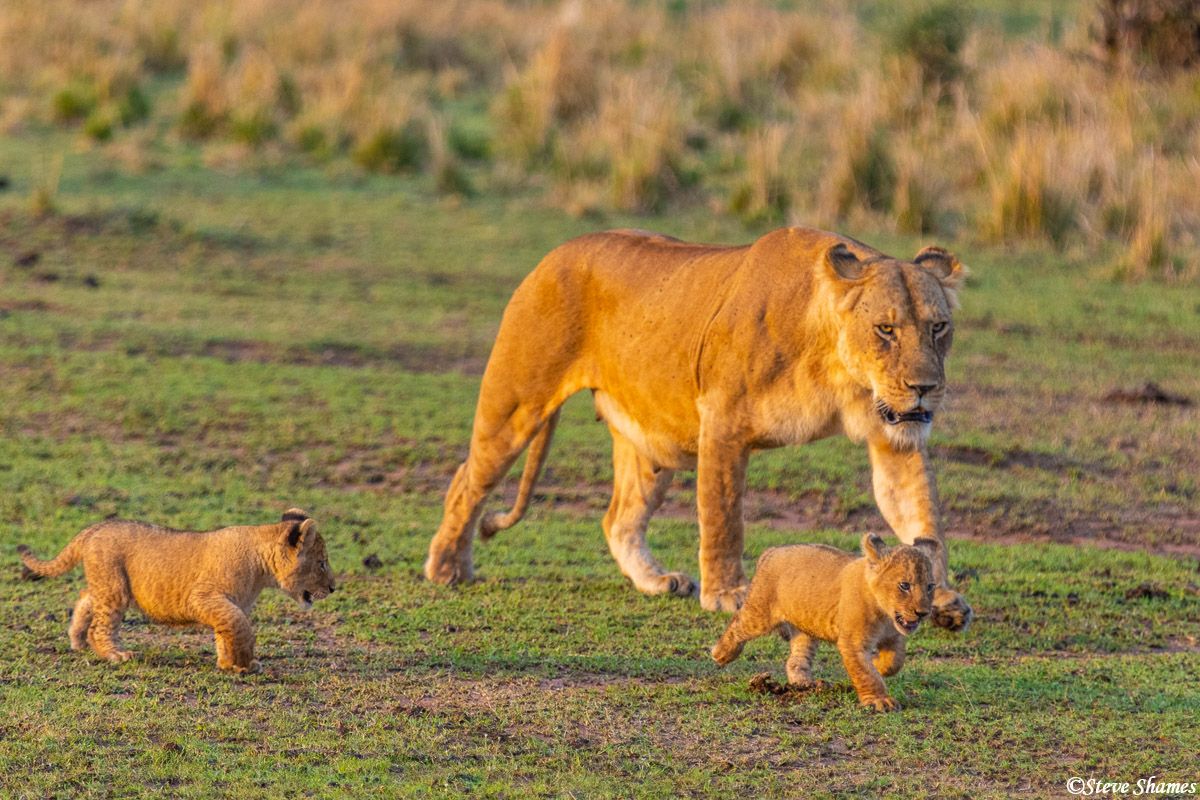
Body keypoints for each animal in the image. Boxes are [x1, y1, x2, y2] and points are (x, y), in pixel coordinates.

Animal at [17, 508, 335, 673]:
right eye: (321, 563)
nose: (333, 588)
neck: (261, 563)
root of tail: (95, 528)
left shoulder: (224, 603)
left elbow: (227, 630)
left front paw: (228, 663)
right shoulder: (203, 597)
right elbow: (239, 626)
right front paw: (244, 664)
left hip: (105, 583)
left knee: (86, 598)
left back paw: (77, 641)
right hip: (115, 586)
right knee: (101, 624)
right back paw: (114, 654)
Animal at [424, 226, 972, 630]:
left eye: (938, 327)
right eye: (886, 329)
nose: (924, 388)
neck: (839, 370)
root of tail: (555, 251)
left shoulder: (894, 438)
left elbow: (921, 517)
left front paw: (941, 595)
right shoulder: (724, 421)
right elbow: (723, 516)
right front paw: (729, 594)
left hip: (653, 440)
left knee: (619, 519)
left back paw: (656, 580)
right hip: (516, 401)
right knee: (466, 481)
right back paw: (448, 568)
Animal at [711, 534, 936, 712]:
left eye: (930, 586)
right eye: (904, 585)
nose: (923, 613)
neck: (885, 615)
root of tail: (772, 550)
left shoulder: (895, 638)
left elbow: (895, 662)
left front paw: (880, 665)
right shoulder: (853, 642)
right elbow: (866, 674)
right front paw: (879, 700)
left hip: (806, 628)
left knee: (796, 660)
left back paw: (804, 685)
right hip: (760, 613)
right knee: (738, 624)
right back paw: (721, 653)